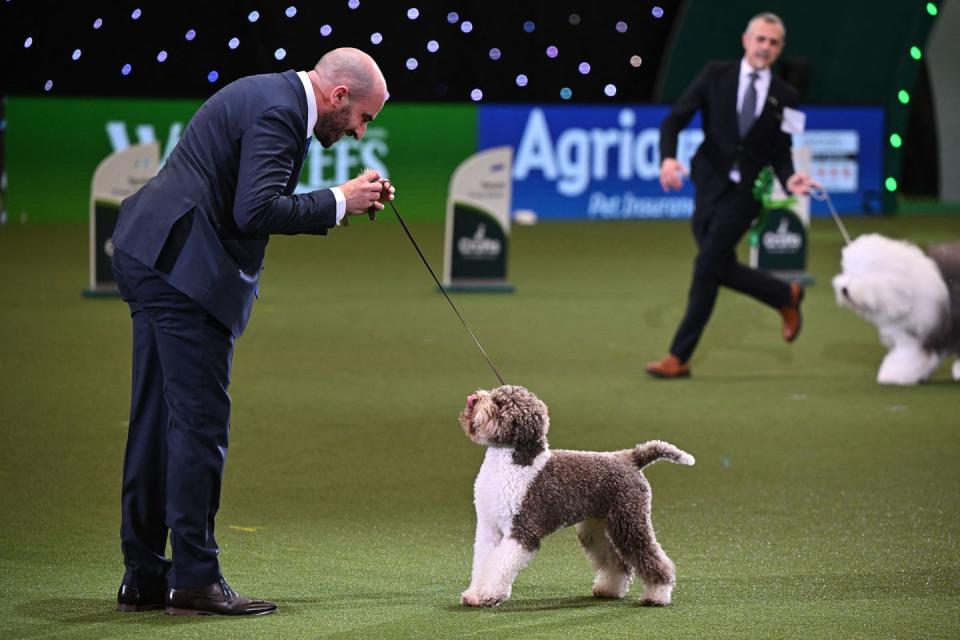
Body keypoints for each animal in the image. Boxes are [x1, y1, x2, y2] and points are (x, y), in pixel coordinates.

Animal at [456, 382, 688, 608]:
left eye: (499, 403)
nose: (473, 398)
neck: (513, 462)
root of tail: (630, 458)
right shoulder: (490, 528)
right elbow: (484, 562)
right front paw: (474, 594)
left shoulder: (522, 530)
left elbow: (499, 564)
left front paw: (488, 595)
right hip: (595, 527)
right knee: (617, 562)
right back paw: (609, 589)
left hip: (629, 521)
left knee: (650, 556)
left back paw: (658, 594)